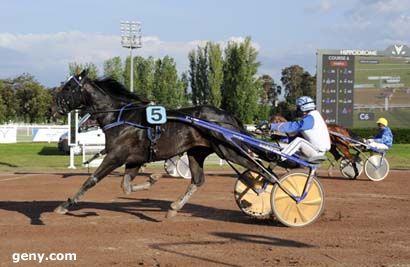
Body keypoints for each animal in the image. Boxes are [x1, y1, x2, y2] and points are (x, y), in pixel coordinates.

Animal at [54, 70, 270, 218]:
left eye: (68, 87)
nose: (53, 107)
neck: (120, 116)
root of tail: (227, 116)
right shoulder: (134, 159)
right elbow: (126, 187)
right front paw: (153, 179)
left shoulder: (116, 156)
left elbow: (91, 180)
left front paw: (65, 205)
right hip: (197, 152)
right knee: (198, 180)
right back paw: (174, 208)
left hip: (229, 150)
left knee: (263, 170)